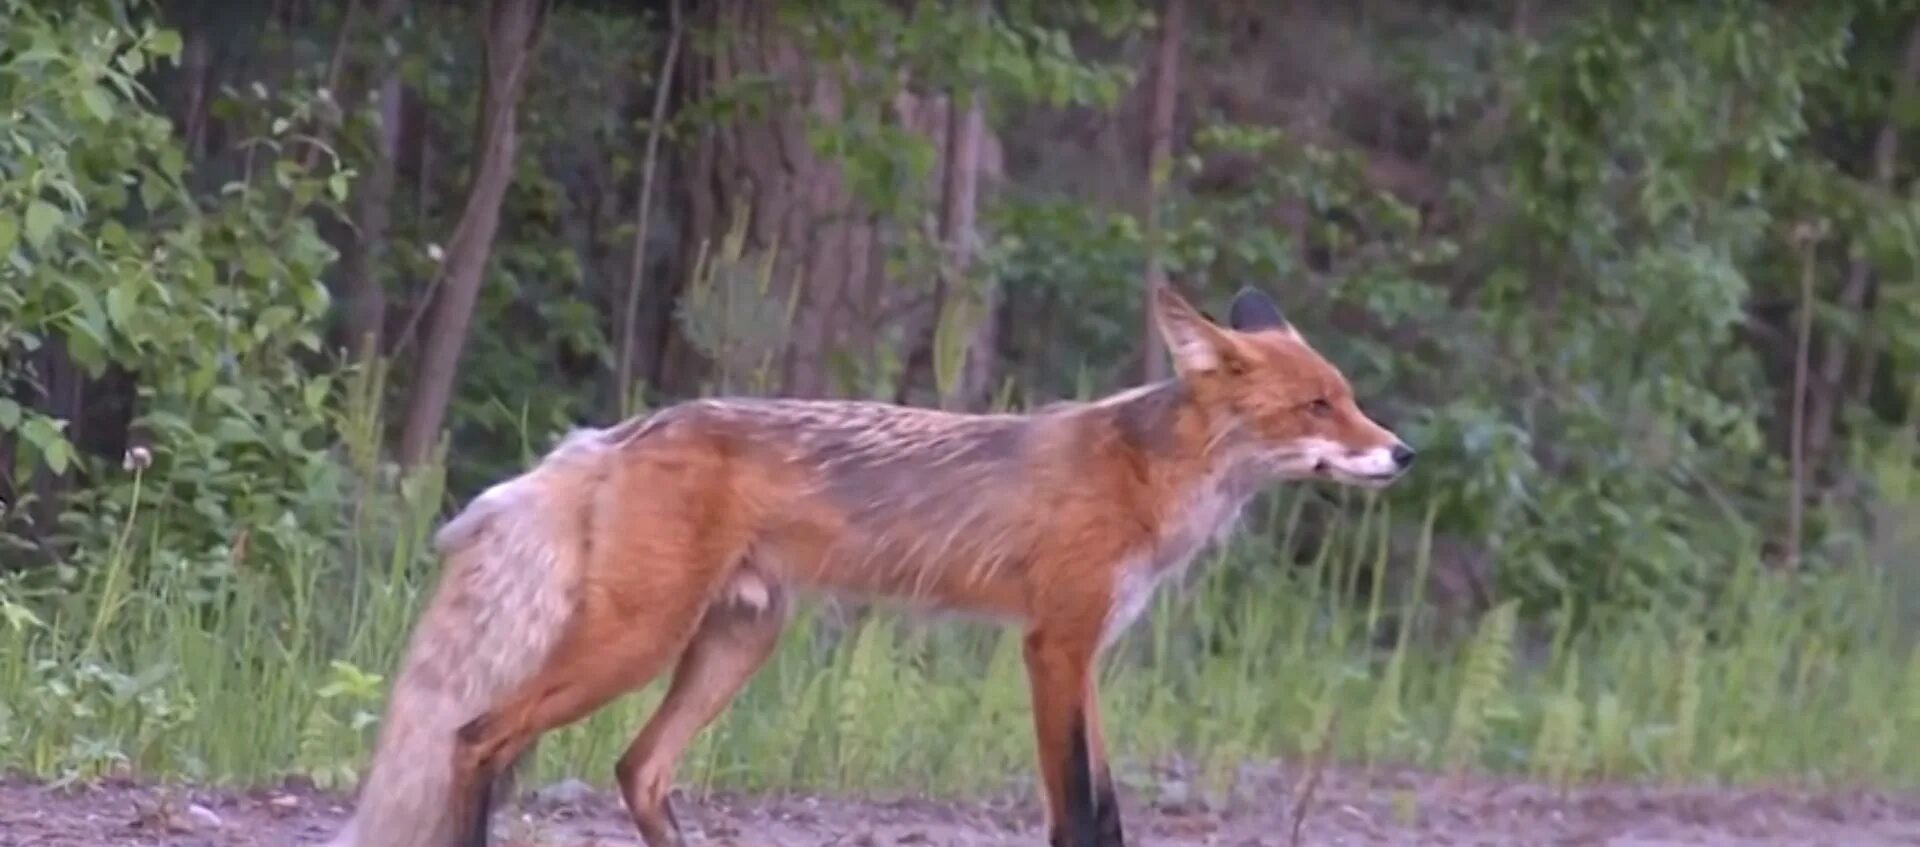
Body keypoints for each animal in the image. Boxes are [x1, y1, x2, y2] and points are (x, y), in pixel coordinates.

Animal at [326, 284, 1413, 845]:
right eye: (1319, 405)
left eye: (1349, 396)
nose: (1403, 453)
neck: (1150, 479)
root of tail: (618, 431)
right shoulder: (1054, 643)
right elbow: (1079, 810)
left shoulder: (1087, 654)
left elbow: (1106, 805)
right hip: (635, 642)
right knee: (478, 737)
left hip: (736, 642)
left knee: (636, 767)